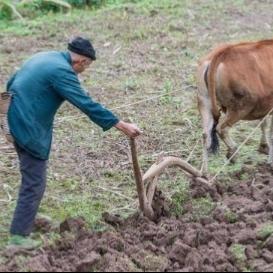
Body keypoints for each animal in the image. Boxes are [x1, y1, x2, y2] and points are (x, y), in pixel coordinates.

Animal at [197, 39, 272, 173]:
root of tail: (222, 53)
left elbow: (264, 124)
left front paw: (264, 147)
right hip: (241, 107)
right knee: (222, 128)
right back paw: (233, 153)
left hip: (204, 101)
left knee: (206, 134)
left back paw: (204, 173)